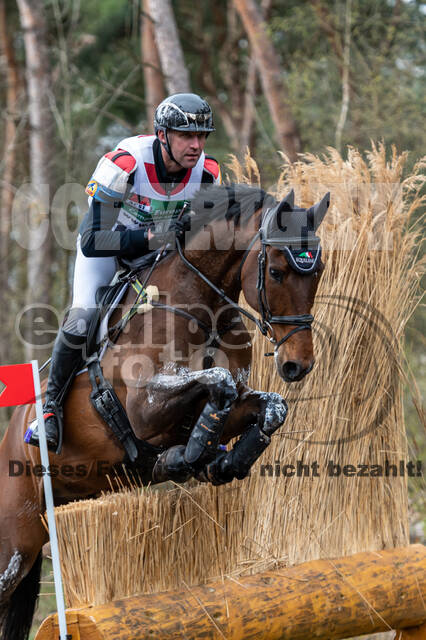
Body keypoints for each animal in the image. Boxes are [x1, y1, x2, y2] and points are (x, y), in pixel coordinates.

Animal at [0, 182, 330, 636]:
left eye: (318, 271)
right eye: (278, 271)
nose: (298, 364)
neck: (199, 307)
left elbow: (269, 407)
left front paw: (221, 463)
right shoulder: (145, 409)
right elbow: (219, 384)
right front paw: (185, 457)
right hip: (14, 544)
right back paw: (48, 427)